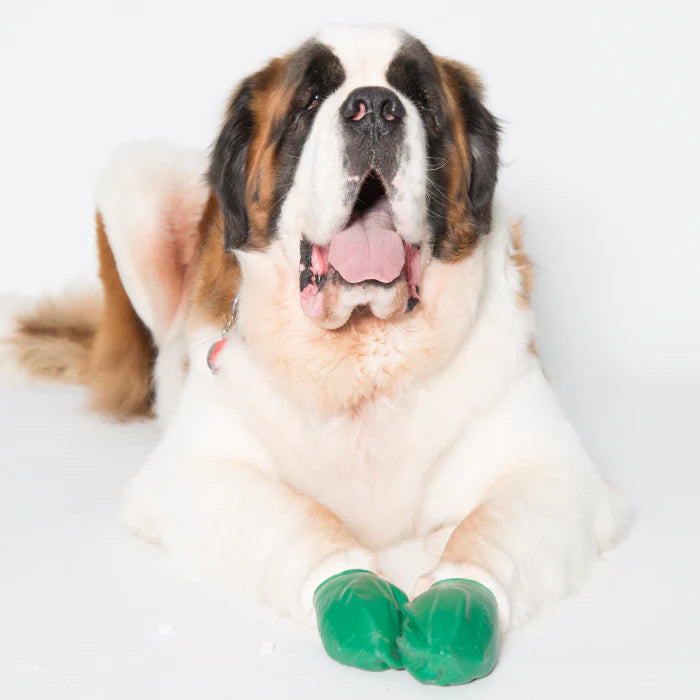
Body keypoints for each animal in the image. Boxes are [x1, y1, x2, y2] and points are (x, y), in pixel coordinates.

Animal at [5, 26, 628, 684]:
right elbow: (299, 518)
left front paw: (453, 609)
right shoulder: (194, 474)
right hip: (137, 182)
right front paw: (358, 597)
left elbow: (485, 531)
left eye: (421, 100)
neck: (360, 351)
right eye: (309, 100)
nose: (375, 108)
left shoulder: (557, 472)